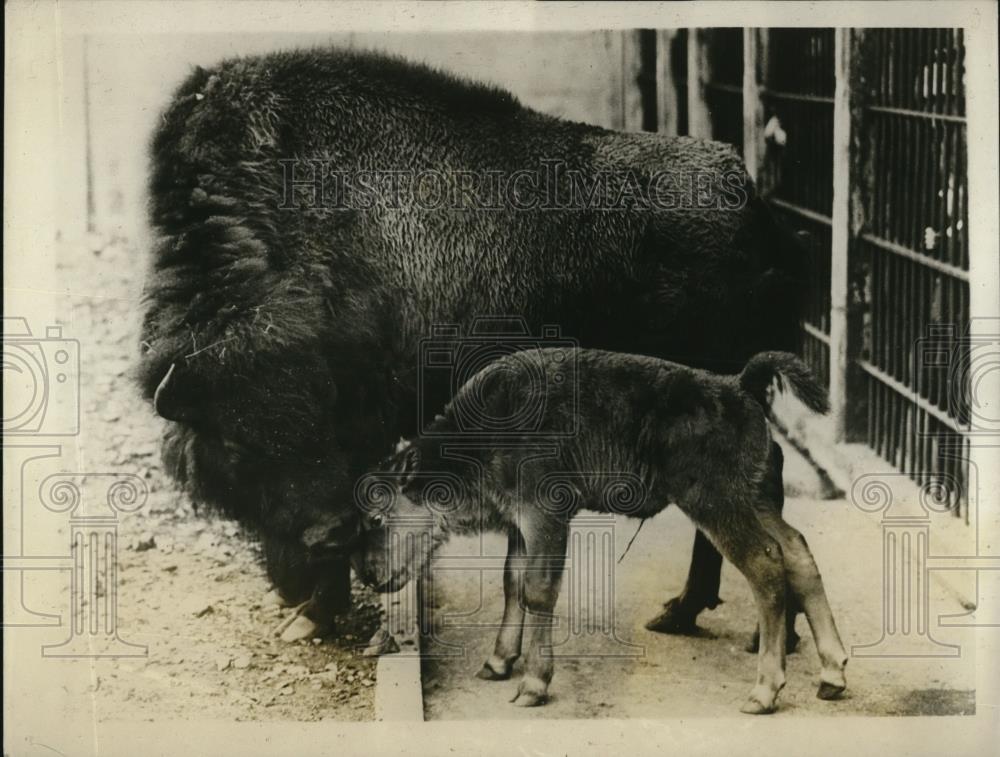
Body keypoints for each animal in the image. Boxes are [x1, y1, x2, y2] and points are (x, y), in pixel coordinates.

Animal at [139, 45, 804, 636]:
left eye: (322, 418)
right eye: (236, 441)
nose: (326, 533)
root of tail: (749, 198)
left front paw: (315, 616)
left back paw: (715, 619)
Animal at [356, 348, 848, 716]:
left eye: (376, 518)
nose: (366, 574)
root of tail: (738, 386)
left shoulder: (546, 516)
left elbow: (538, 590)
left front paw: (533, 685)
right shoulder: (520, 525)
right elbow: (512, 584)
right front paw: (496, 663)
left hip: (718, 506)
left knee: (766, 565)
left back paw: (764, 692)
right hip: (758, 503)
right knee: (797, 551)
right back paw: (832, 675)